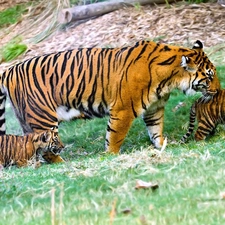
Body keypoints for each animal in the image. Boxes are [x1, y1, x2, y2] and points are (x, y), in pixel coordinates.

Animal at [0, 39, 221, 154]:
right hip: (43, 118)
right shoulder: (123, 109)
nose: (218, 91)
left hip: (27, 120)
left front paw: (162, 146)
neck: (169, 79)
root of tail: (9, 70)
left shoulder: (154, 108)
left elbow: (156, 130)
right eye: (209, 76)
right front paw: (110, 156)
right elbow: (115, 135)